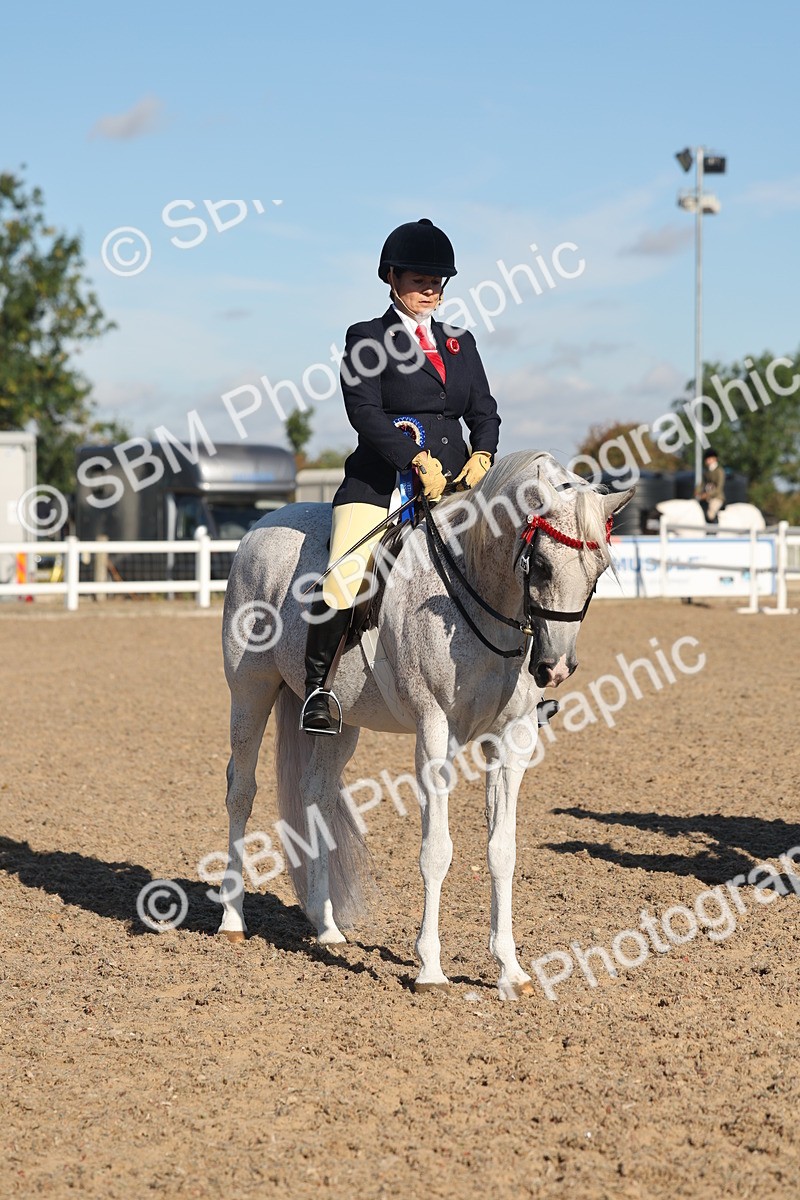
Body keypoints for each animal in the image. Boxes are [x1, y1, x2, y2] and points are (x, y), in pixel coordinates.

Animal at [218, 450, 633, 998]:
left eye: (600, 569)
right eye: (541, 564)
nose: (555, 668)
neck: (479, 595)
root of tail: (258, 529)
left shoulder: (512, 741)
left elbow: (502, 850)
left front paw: (511, 971)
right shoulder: (435, 735)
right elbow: (436, 850)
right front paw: (430, 969)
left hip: (339, 723)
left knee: (317, 797)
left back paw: (327, 929)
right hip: (250, 692)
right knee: (241, 791)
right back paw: (232, 921)